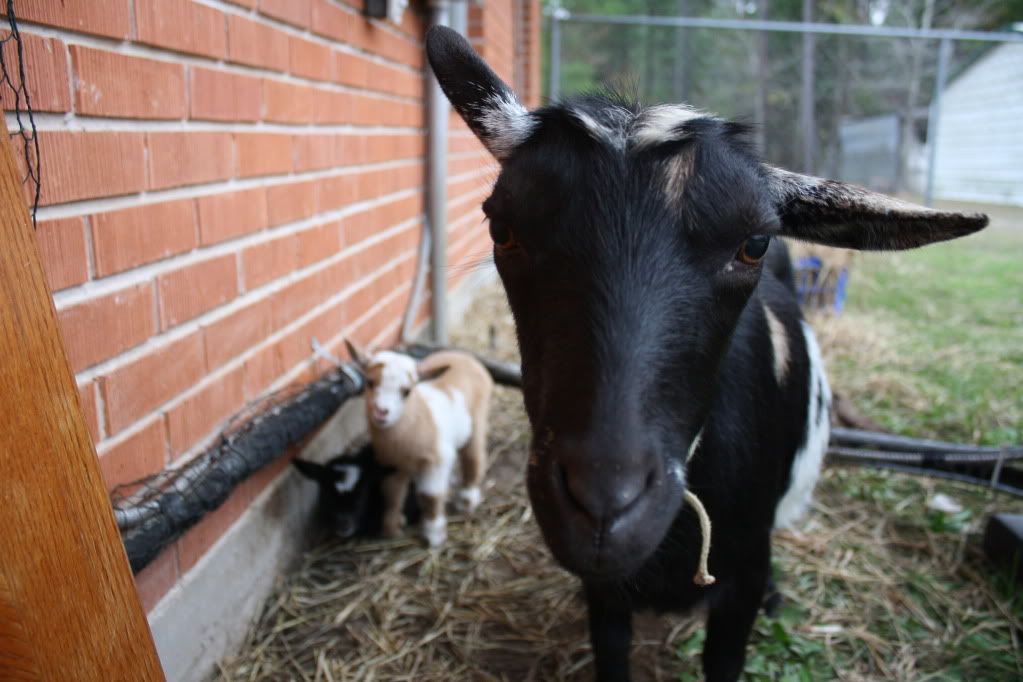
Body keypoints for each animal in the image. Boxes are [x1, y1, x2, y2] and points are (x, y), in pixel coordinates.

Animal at [345, 340, 494, 547]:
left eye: (407, 391)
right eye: (369, 382)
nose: (381, 413)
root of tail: (462, 356)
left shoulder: (437, 460)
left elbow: (430, 495)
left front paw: (434, 534)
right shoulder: (392, 464)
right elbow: (391, 493)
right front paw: (392, 528)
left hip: (478, 418)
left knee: (473, 456)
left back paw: (467, 500)